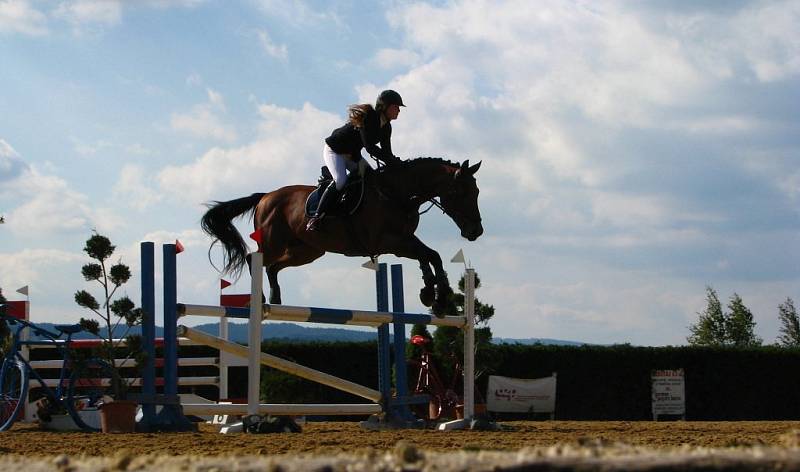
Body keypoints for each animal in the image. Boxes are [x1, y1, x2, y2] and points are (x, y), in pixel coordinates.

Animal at [203, 157, 484, 316]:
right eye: (461, 192)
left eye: (477, 192)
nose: (476, 232)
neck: (397, 193)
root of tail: (264, 197)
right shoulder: (387, 242)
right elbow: (427, 255)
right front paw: (436, 294)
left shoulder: (404, 239)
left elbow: (430, 255)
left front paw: (434, 295)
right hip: (273, 241)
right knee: (254, 259)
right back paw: (260, 300)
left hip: (307, 251)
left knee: (273, 268)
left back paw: (276, 299)